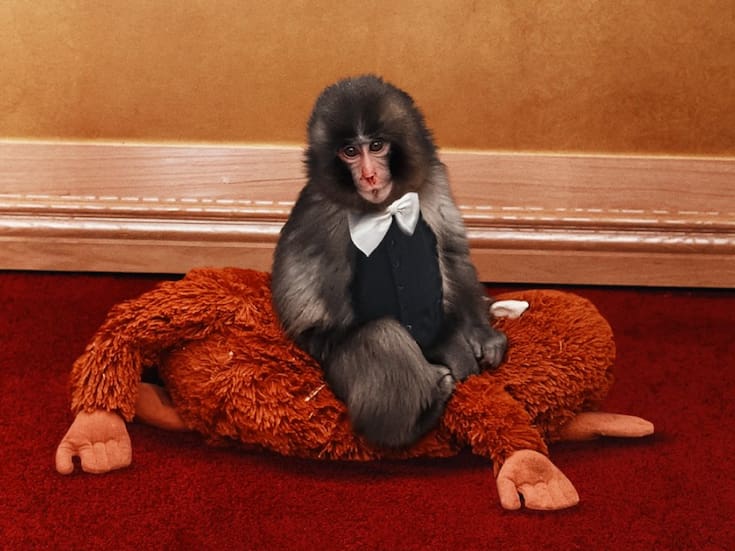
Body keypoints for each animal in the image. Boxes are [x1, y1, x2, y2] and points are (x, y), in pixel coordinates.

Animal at [271, 75, 507, 449]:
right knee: (378, 334)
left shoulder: (434, 182)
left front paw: (480, 335)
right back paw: (420, 415)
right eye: (350, 152)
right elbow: (320, 312)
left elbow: (452, 251)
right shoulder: (321, 217)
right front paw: (452, 345)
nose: (368, 176)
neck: (386, 209)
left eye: (377, 146)